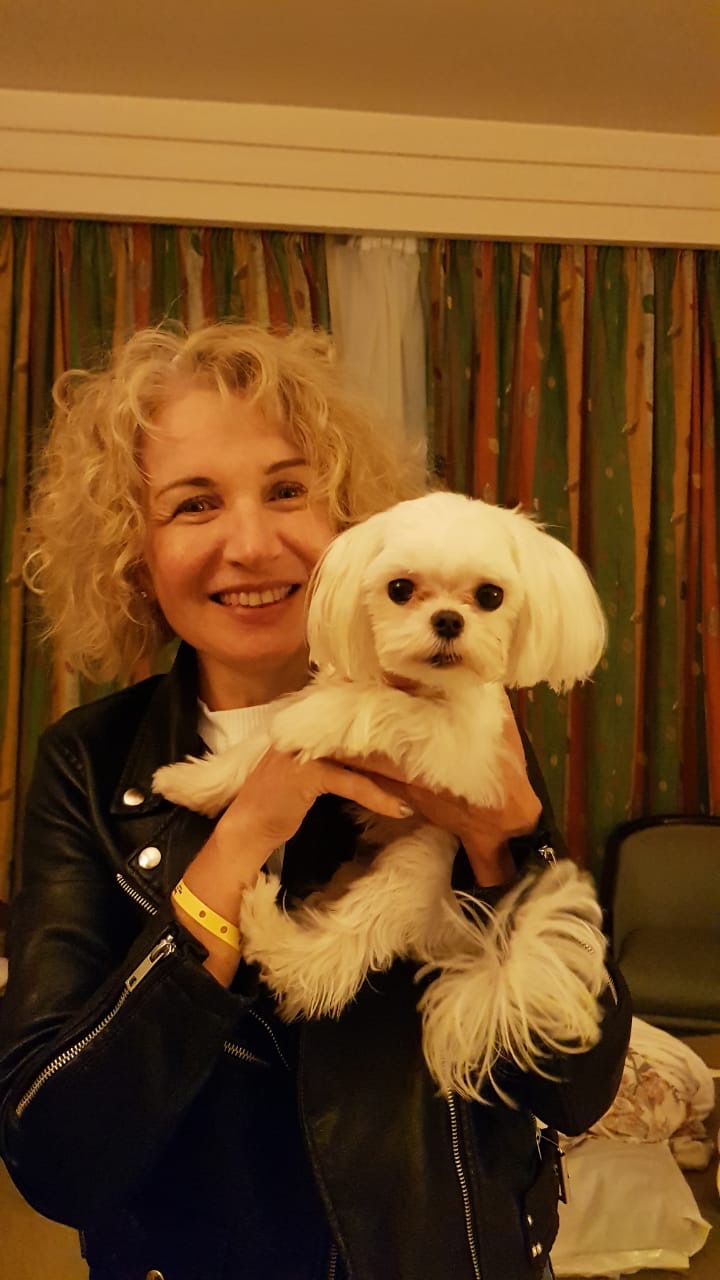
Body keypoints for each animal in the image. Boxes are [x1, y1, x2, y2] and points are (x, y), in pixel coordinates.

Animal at [154, 490, 610, 1101]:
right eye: (399, 589)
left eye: (490, 596)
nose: (448, 620)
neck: (419, 683)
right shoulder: (337, 682)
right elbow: (260, 746)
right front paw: (195, 783)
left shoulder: (464, 756)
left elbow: (373, 710)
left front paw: (313, 722)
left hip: (408, 872)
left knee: (327, 962)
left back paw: (270, 924)